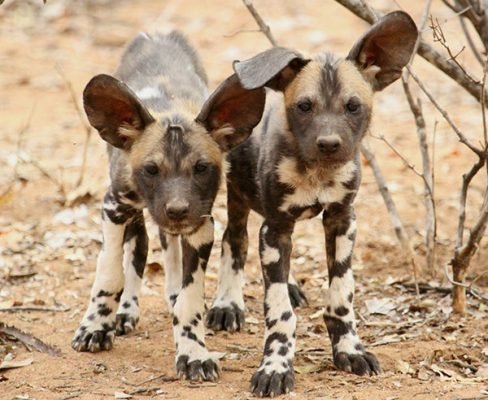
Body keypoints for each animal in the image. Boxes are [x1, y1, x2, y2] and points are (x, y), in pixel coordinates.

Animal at [70, 31, 264, 382]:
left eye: (201, 168)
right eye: (151, 169)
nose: (176, 210)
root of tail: (159, 33)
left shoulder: (201, 227)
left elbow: (191, 300)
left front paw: (193, 352)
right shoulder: (113, 208)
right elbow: (109, 275)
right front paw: (96, 326)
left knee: (207, 243)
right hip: (133, 213)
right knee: (140, 249)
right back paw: (125, 311)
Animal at [208, 10, 418, 396]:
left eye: (353, 106)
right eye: (304, 107)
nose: (329, 144)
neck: (317, 173)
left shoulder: (341, 220)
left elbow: (341, 298)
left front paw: (349, 350)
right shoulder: (275, 227)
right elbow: (279, 313)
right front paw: (275, 367)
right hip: (239, 200)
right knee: (235, 242)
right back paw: (227, 303)